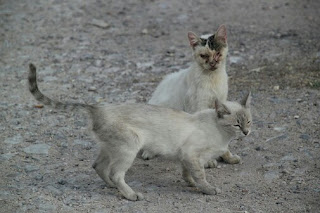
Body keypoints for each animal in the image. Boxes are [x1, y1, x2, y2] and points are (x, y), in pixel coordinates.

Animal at [27, 63, 252, 201]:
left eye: (249, 121)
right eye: (236, 125)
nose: (247, 132)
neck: (223, 137)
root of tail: (97, 107)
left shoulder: (186, 156)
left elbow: (187, 173)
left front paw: (189, 183)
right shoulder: (191, 154)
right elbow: (201, 175)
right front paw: (207, 189)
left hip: (111, 148)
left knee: (98, 166)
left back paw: (112, 186)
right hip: (129, 148)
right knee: (116, 173)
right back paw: (130, 194)